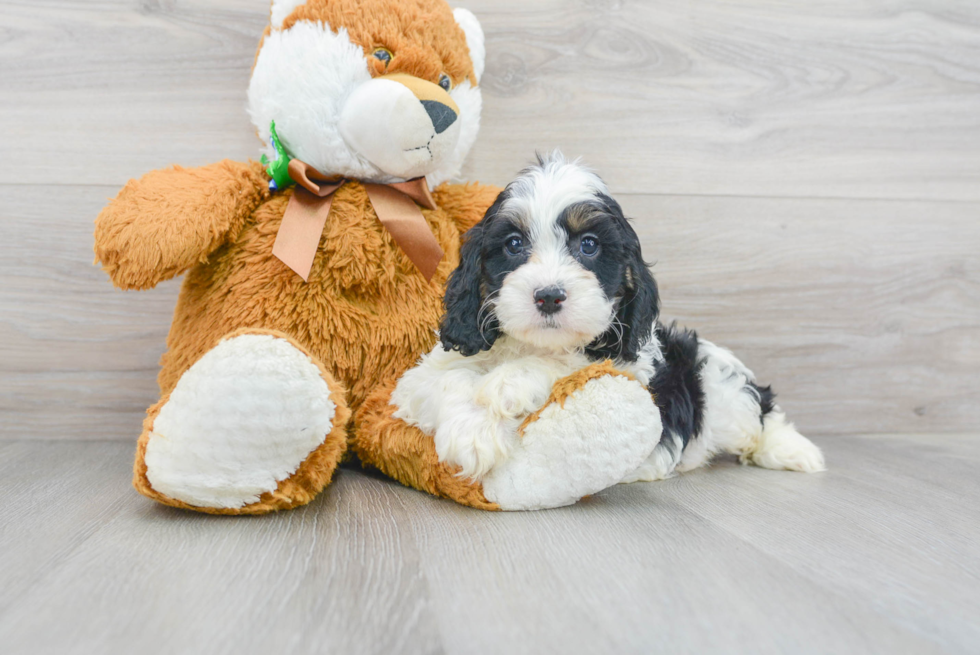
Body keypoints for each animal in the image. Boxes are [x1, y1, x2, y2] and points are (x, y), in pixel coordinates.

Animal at [392, 152, 828, 482]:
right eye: (513, 244)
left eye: (589, 245)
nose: (549, 296)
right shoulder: (419, 379)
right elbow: (447, 380)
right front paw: (473, 434)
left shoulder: (631, 369)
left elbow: (571, 364)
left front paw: (509, 383)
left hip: (720, 385)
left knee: (759, 411)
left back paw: (793, 450)